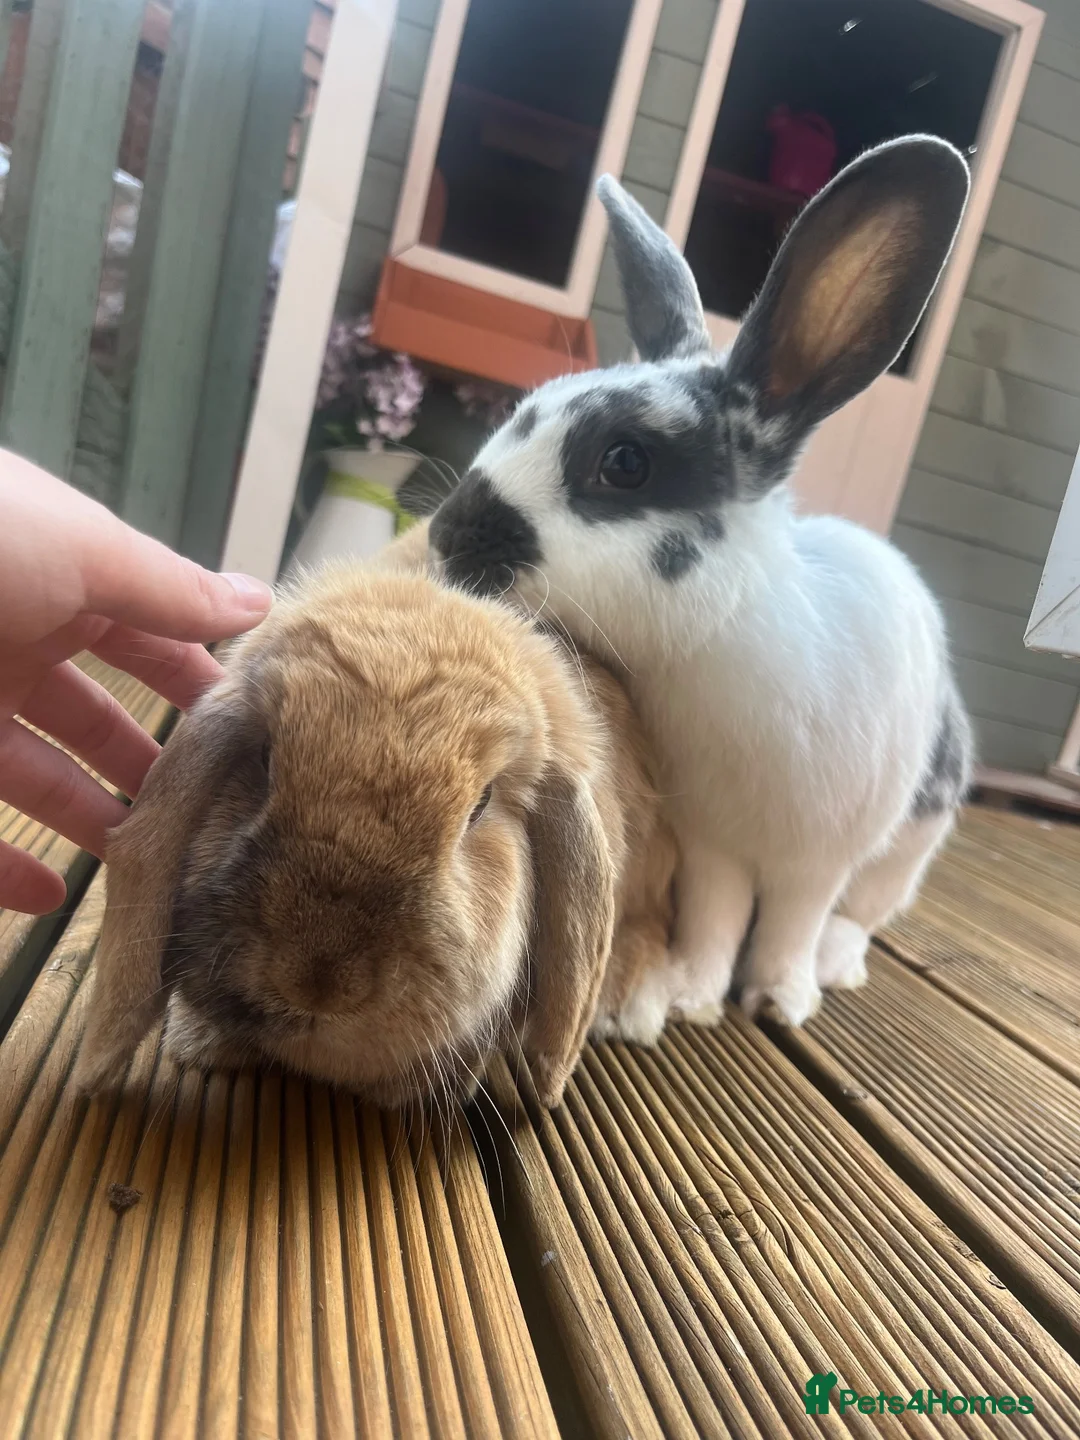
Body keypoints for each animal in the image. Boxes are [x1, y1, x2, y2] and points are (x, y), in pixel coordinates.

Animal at [427, 136, 974, 1033]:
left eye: (624, 462)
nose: (446, 536)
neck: (719, 647)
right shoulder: (713, 847)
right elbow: (717, 918)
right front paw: (691, 993)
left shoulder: (817, 856)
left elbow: (791, 923)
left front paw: (779, 998)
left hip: (908, 844)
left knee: (859, 916)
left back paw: (834, 964)